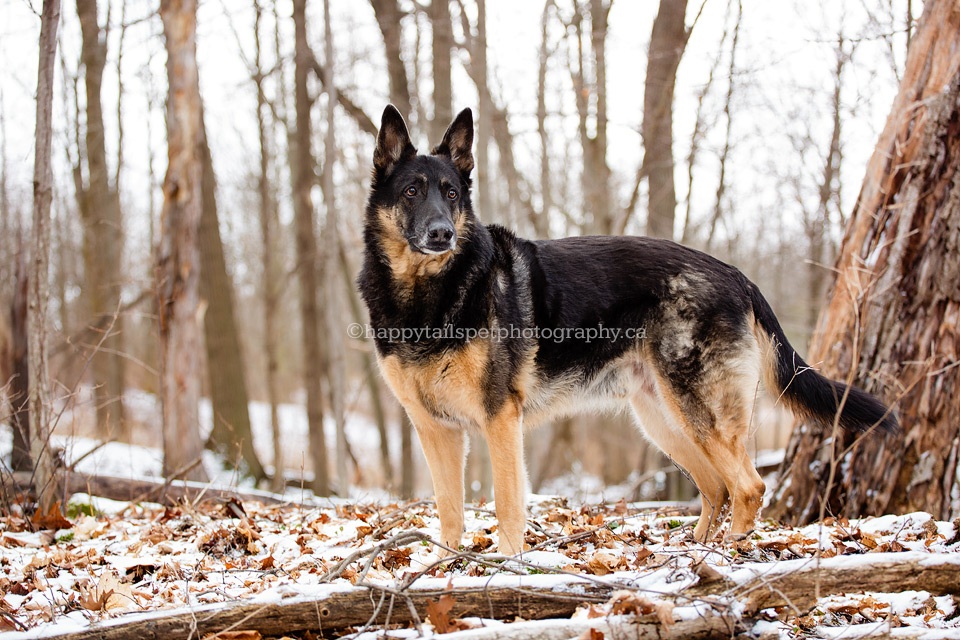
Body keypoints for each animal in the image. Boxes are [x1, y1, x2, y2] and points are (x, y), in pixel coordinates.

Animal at [356, 105, 896, 556]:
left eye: (450, 194)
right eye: (411, 192)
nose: (442, 234)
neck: (429, 293)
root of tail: (734, 272)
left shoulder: (499, 418)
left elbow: (507, 501)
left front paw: (505, 564)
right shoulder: (435, 430)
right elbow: (449, 509)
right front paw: (446, 564)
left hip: (698, 411)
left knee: (749, 486)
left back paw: (731, 552)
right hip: (664, 418)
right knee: (716, 485)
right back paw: (694, 549)